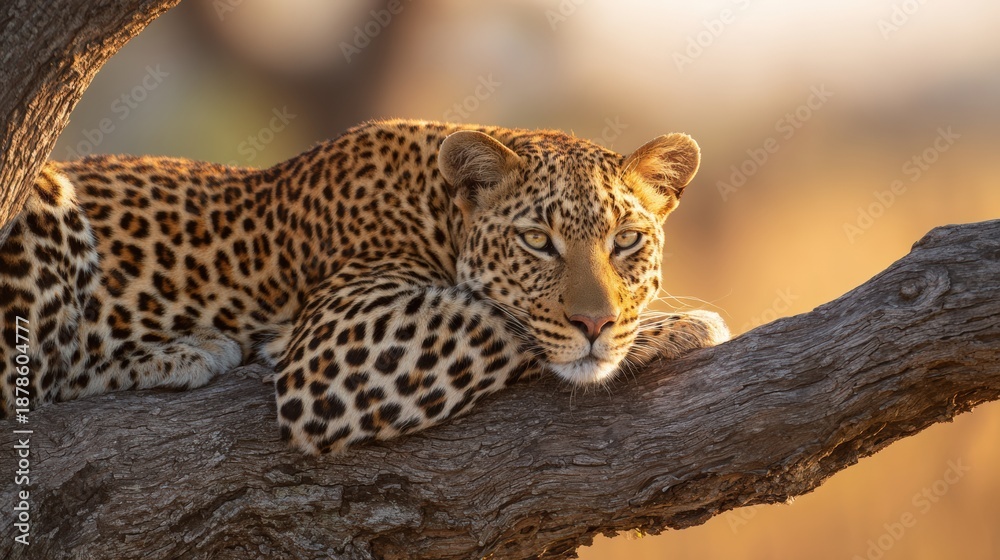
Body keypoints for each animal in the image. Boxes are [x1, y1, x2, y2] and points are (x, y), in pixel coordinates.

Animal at [0, 119, 729, 454]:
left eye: (626, 242)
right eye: (537, 242)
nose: (596, 324)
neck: (434, 203)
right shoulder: (336, 346)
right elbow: (499, 318)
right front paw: (677, 327)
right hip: (44, 196)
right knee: (33, 381)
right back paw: (183, 353)